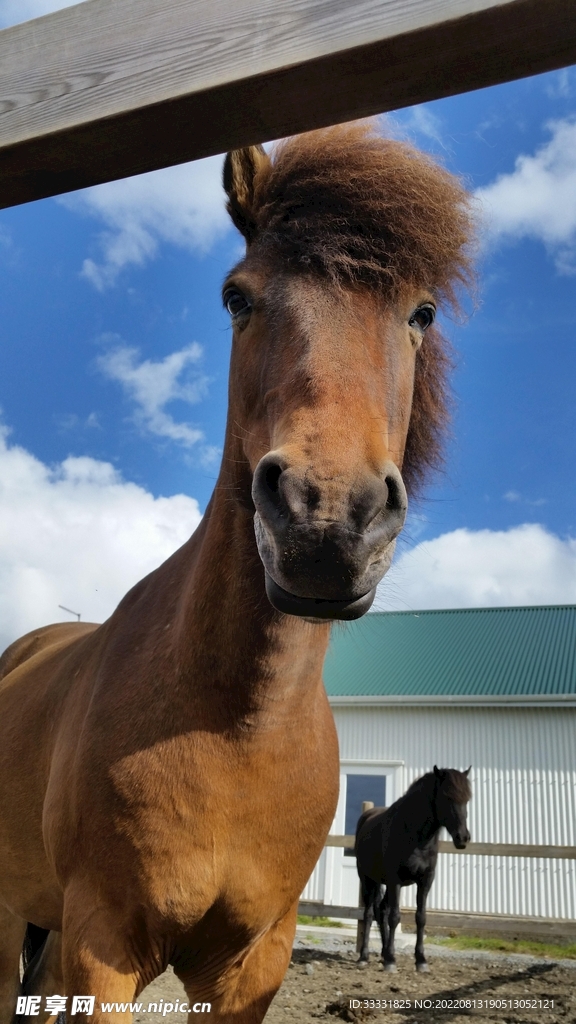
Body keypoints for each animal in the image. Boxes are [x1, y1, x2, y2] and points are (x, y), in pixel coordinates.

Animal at [355, 767, 472, 972]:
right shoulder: (395, 881)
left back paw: (383, 953)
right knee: (369, 915)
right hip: (368, 879)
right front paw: (391, 961)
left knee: (381, 911)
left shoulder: (426, 880)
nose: (463, 838)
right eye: (447, 797)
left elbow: (421, 917)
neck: (414, 835)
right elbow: (395, 917)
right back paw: (364, 956)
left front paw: (421, 960)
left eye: (467, 799)